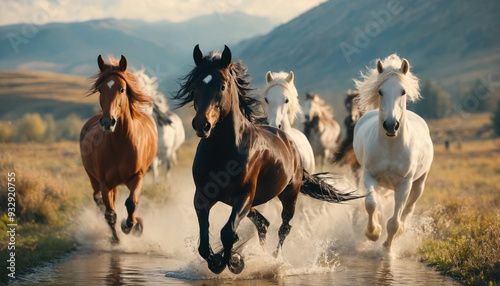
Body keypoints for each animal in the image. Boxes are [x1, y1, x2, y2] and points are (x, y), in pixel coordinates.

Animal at [80, 55, 158, 244]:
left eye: (122, 89)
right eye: (100, 89)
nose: (108, 122)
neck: (119, 143)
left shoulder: (137, 176)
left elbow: (132, 202)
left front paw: (133, 226)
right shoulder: (104, 183)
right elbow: (110, 214)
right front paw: (115, 239)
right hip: (94, 179)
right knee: (100, 202)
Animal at [176, 45, 364, 274]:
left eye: (222, 86)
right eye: (195, 86)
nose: (201, 125)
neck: (224, 151)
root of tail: (289, 140)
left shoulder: (243, 196)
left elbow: (228, 232)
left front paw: (234, 262)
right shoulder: (202, 197)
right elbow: (204, 243)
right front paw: (222, 259)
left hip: (289, 195)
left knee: (284, 227)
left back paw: (275, 260)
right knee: (263, 224)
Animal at [352, 54, 434, 251]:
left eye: (402, 92)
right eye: (381, 91)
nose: (391, 125)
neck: (390, 148)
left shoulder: (404, 184)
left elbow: (395, 222)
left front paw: (387, 247)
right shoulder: (369, 176)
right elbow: (371, 204)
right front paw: (373, 233)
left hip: (419, 183)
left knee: (409, 208)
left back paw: (402, 230)